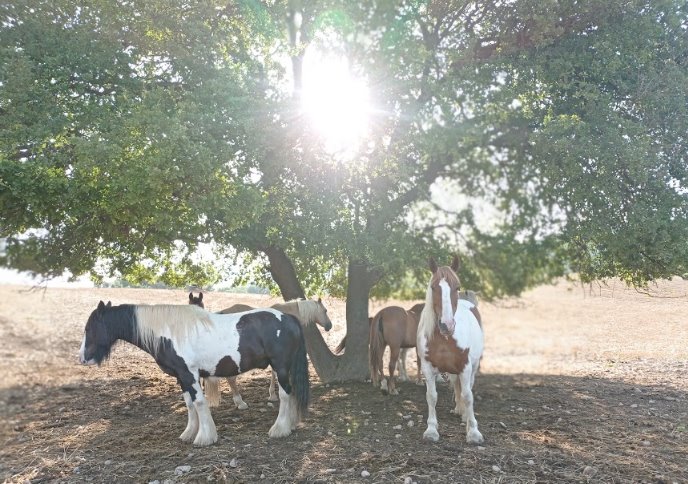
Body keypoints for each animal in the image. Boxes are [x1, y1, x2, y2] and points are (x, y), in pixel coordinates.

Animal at [77, 302, 310, 446]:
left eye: (89, 328)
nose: (82, 358)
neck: (169, 332)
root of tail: (288, 318)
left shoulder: (190, 374)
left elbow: (199, 403)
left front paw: (205, 437)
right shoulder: (182, 377)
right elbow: (189, 404)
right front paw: (189, 433)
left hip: (280, 367)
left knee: (285, 395)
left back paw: (279, 429)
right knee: (291, 394)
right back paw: (290, 425)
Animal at [414, 255, 484, 444]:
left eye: (457, 287)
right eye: (433, 287)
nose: (447, 325)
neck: (445, 339)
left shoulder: (465, 366)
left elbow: (468, 396)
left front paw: (473, 432)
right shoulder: (428, 368)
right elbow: (431, 396)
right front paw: (431, 430)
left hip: (473, 367)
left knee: (468, 388)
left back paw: (465, 416)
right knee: (456, 385)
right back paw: (459, 410)